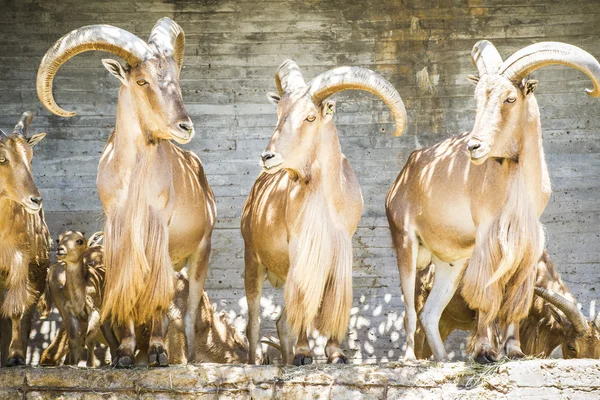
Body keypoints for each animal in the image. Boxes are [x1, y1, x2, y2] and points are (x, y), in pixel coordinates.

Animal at [37, 19, 217, 368]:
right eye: (142, 80)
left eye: (175, 79)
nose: (185, 127)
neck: (134, 183)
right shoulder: (118, 238)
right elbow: (127, 292)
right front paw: (124, 354)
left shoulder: (159, 235)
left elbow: (159, 297)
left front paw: (158, 352)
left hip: (200, 250)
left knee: (189, 309)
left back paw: (186, 357)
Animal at [243, 60, 408, 366]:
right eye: (279, 114)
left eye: (310, 117)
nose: (268, 157)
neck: (326, 201)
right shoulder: (302, 250)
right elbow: (304, 299)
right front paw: (304, 353)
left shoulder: (341, 249)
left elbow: (333, 302)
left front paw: (336, 353)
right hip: (253, 259)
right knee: (254, 322)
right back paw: (257, 360)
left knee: (282, 322)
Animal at [386, 40, 600, 362]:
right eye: (478, 98)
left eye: (510, 98)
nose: (474, 146)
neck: (516, 186)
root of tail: (404, 174)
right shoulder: (488, 236)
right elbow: (487, 297)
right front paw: (485, 352)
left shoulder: (526, 244)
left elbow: (513, 300)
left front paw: (514, 351)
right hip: (406, 244)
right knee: (411, 313)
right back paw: (411, 358)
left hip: (451, 262)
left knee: (431, 314)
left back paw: (443, 359)